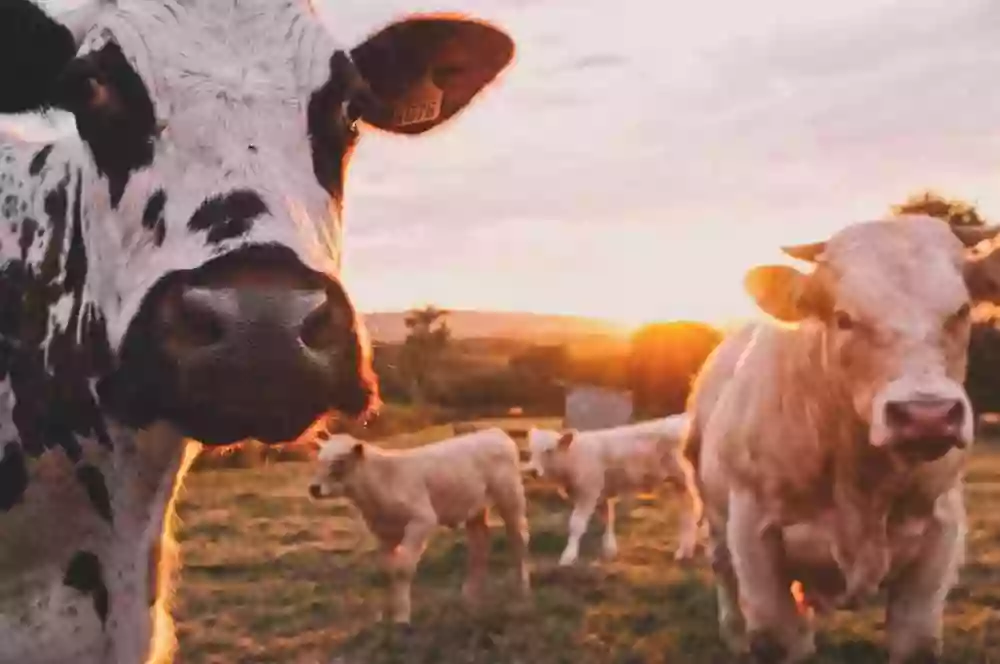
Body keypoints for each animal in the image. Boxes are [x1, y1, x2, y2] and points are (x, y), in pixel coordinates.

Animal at [308, 428, 532, 624]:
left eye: (339, 462)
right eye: (319, 459)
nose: (314, 488)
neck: (382, 480)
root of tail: (494, 432)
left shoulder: (422, 520)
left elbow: (403, 568)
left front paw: (402, 618)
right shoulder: (384, 533)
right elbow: (388, 570)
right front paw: (390, 615)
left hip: (510, 497)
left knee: (518, 538)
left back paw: (522, 590)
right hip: (474, 508)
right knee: (480, 545)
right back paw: (470, 595)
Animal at [528, 416, 700, 564]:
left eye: (549, 450)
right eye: (531, 451)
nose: (532, 471)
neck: (574, 456)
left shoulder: (588, 492)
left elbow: (576, 524)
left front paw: (568, 556)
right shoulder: (601, 493)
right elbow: (608, 518)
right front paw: (610, 549)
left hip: (684, 478)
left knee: (691, 509)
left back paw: (685, 550)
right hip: (679, 483)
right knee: (687, 511)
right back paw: (686, 550)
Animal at [684, 218, 1000, 664]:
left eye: (962, 311)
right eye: (844, 318)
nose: (927, 416)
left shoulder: (940, 537)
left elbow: (916, 642)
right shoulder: (753, 534)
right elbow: (776, 638)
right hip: (712, 511)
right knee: (722, 570)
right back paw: (733, 635)